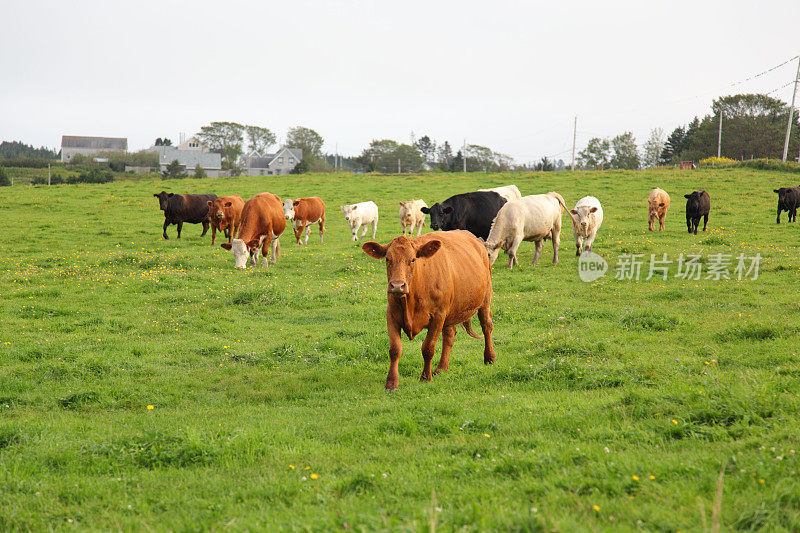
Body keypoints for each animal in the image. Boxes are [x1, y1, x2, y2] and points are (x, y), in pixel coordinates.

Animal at [362, 230, 494, 390]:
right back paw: (441, 368)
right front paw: (391, 383)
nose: (397, 285)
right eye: (388, 259)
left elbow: (428, 348)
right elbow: (394, 349)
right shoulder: (391, 315)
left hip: (485, 300)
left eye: (413, 260)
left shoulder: (438, 316)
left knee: (486, 326)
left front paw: (425, 378)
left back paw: (489, 358)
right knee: (449, 336)